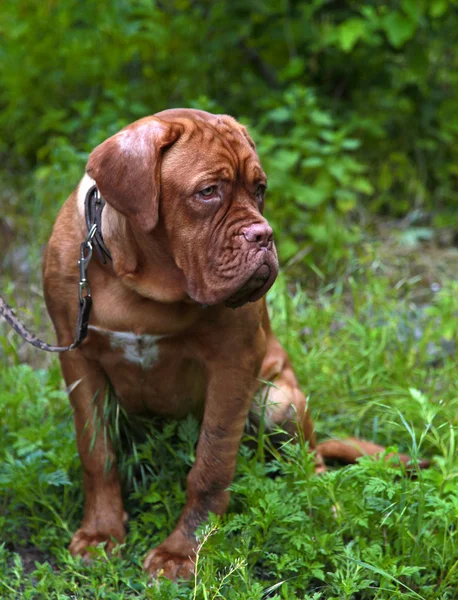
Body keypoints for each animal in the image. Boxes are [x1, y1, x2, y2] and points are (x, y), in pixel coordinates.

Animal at [42, 109, 416, 580]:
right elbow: (97, 452)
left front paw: (183, 552)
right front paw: (100, 533)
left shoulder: (234, 361)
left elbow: (212, 464)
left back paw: (322, 504)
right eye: (208, 192)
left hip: (278, 400)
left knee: (308, 462)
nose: (264, 235)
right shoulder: (79, 359)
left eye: (260, 190)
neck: (142, 284)